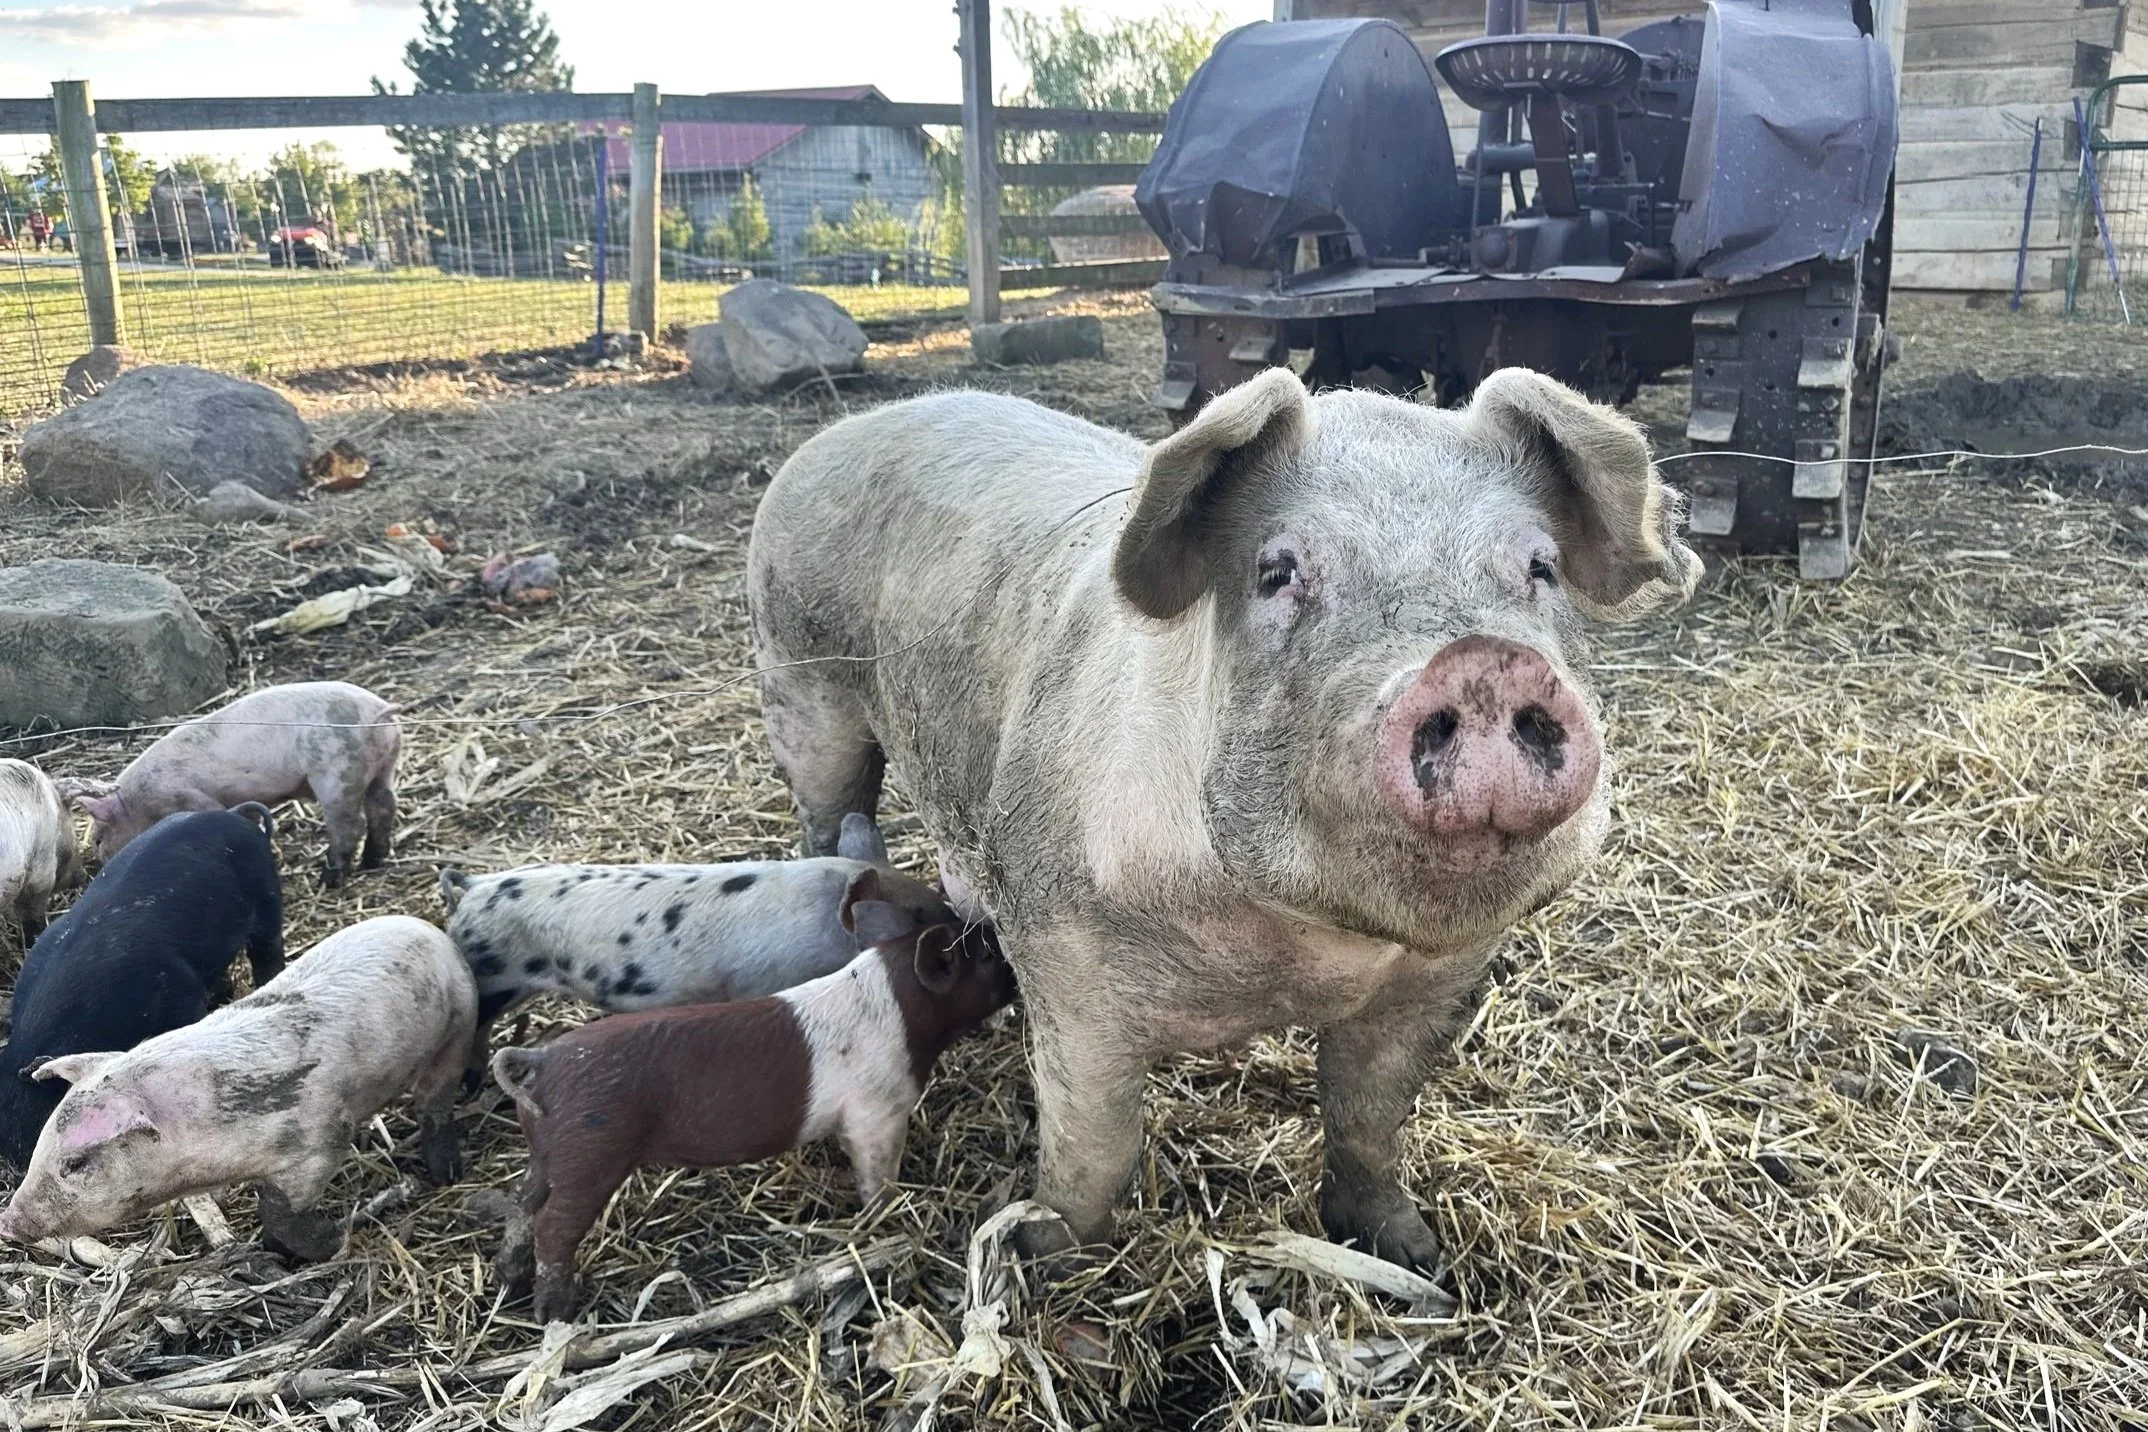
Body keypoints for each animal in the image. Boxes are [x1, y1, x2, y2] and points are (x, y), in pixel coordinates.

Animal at [0, 914, 475, 1262]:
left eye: (75, 1163)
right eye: (41, 1144)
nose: (8, 1220)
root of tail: (429, 929)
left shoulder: (321, 1140)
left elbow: (281, 1211)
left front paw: (331, 1242)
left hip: (459, 1021)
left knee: (436, 1097)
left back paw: (444, 1172)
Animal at [62, 681, 400, 887]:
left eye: (98, 840)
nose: (101, 868)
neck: (138, 802)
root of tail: (378, 711)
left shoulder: (187, 796)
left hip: (336, 773)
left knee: (351, 824)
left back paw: (329, 877)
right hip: (383, 767)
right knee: (384, 806)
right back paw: (372, 861)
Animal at [439, 813, 964, 1069]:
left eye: (934, 898)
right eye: (916, 916)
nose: (962, 927)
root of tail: (474, 886)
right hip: (491, 976)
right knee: (476, 1028)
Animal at [490, 921, 1014, 1322]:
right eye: (987, 957)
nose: (1010, 960)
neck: (903, 1010)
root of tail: (541, 1061)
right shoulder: (877, 1112)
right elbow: (877, 1175)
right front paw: (886, 1213)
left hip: (549, 1154)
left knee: (520, 1204)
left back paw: (507, 1279)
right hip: (591, 1155)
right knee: (552, 1224)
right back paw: (555, 1313)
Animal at [746, 368, 1701, 1271]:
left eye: (1539, 569)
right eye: (1278, 571)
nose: (1482, 662)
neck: (1296, 954)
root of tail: (843, 430)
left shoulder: (1438, 980)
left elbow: (1369, 1119)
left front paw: (1411, 1255)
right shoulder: (1068, 964)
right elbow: (1095, 1142)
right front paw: (1039, 1250)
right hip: (799, 685)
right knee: (830, 817)